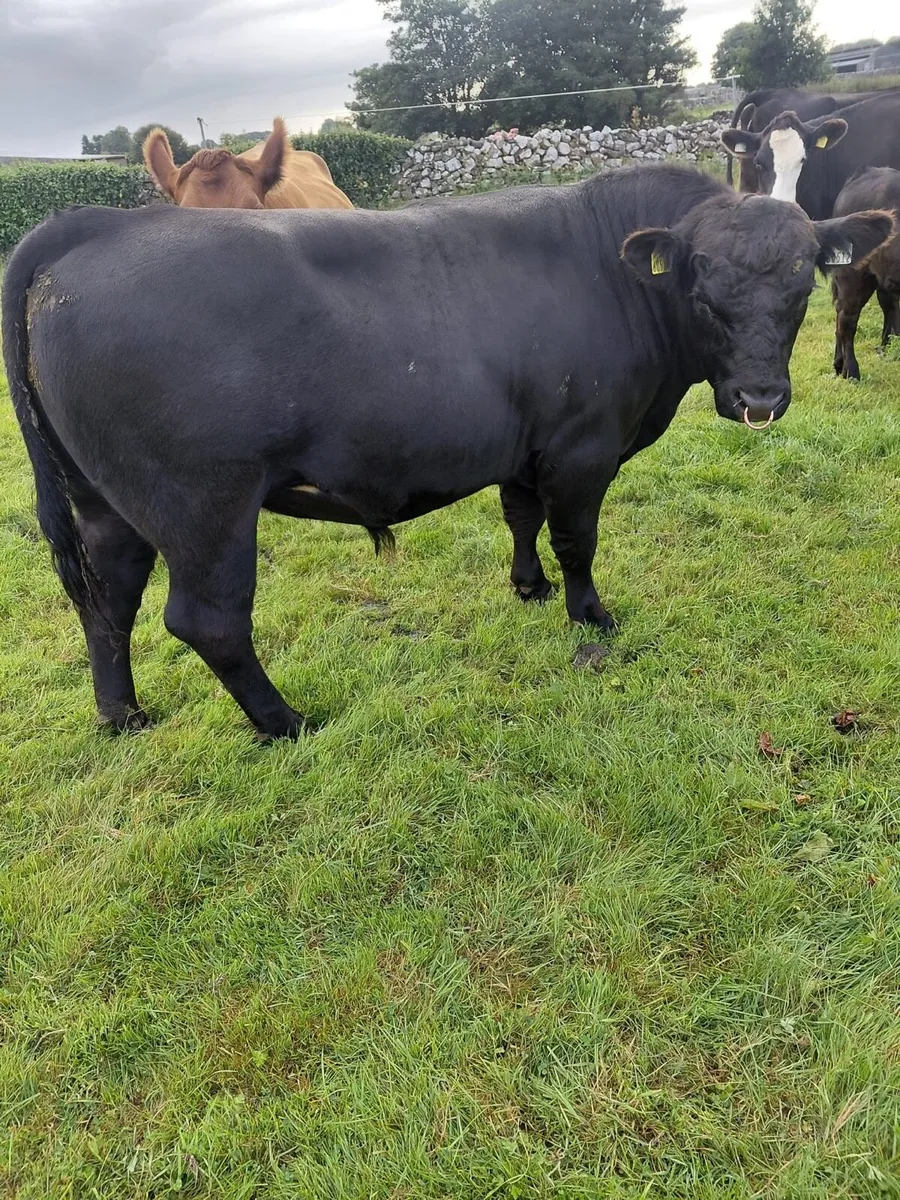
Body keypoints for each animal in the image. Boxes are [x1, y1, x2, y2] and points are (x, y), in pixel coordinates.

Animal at [3, 165, 892, 738]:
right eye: (702, 286)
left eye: (803, 285)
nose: (760, 400)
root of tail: (96, 221)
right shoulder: (581, 449)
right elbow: (576, 538)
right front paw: (590, 613)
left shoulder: (525, 447)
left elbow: (520, 518)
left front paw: (528, 588)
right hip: (202, 507)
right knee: (206, 621)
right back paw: (285, 721)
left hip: (106, 500)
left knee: (107, 601)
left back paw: (123, 715)